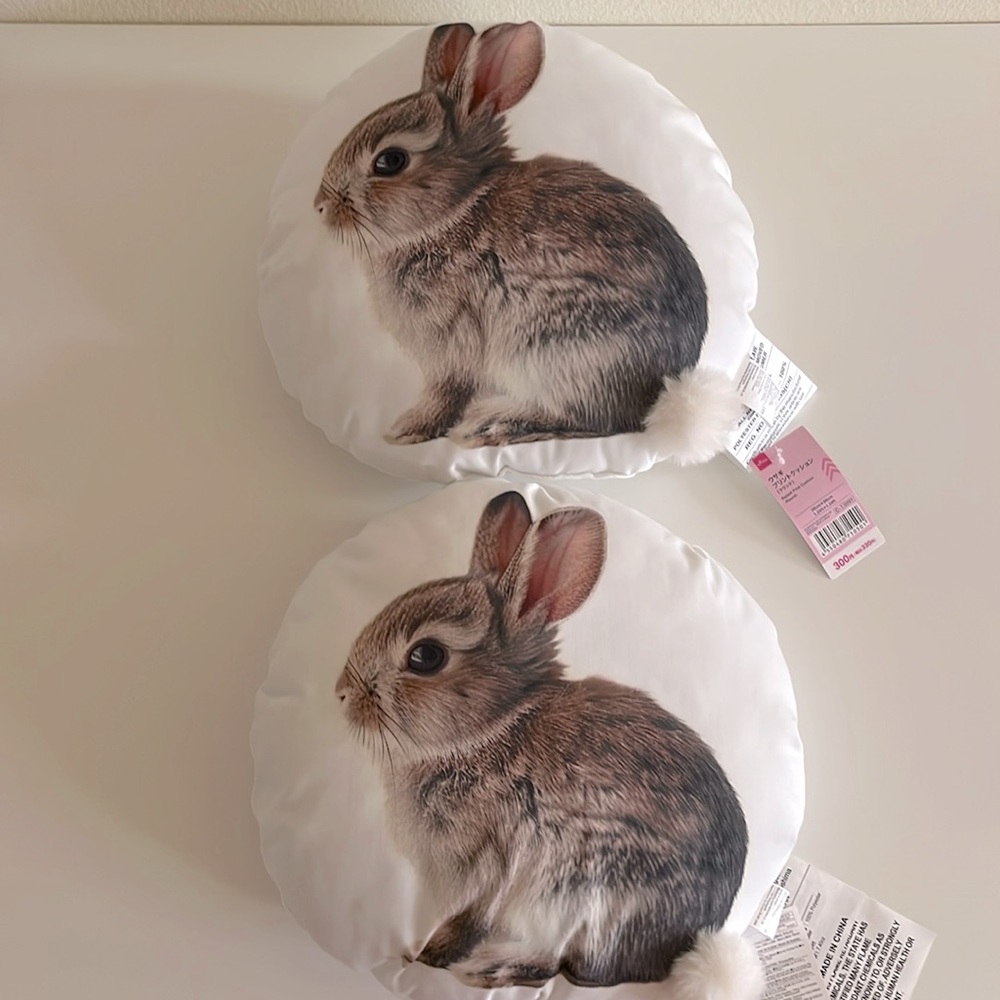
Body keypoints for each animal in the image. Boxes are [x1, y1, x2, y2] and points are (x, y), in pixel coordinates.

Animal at [314, 22, 741, 463]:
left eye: (389, 161)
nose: (320, 206)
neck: (453, 212)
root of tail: (661, 397)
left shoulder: (453, 351)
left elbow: (447, 394)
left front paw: (409, 429)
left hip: (553, 345)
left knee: (588, 419)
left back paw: (493, 423)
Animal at [335, 491, 760, 996]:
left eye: (425, 656)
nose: (341, 694)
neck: (492, 728)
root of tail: (676, 953)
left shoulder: (495, 860)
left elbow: (470, 919)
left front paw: (427, 955)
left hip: (589, 891)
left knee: (574, 966)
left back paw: (495, 967)